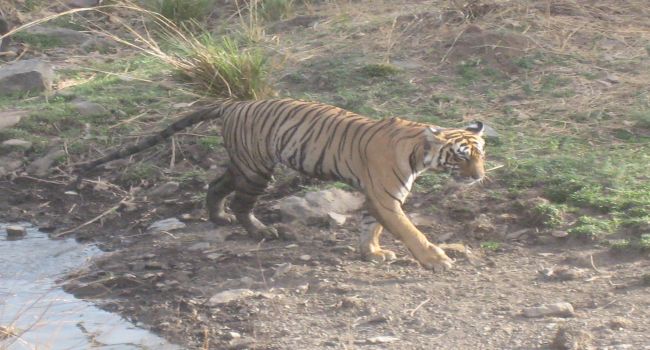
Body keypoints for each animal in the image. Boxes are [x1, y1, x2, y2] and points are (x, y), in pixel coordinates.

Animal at [78, 98, 484, 270]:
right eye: (461, 156)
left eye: (481, 153)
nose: (480, 176)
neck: (420, 153)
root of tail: (233, 103)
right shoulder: (385, 197)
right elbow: (411, 232)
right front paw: (436, 259)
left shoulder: (377, 198)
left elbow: (373, 227)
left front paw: (372, 252)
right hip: (258, 169)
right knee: (242, 202)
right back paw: (260, 231)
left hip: (244, 163)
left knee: (216, 185)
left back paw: (218, 218)